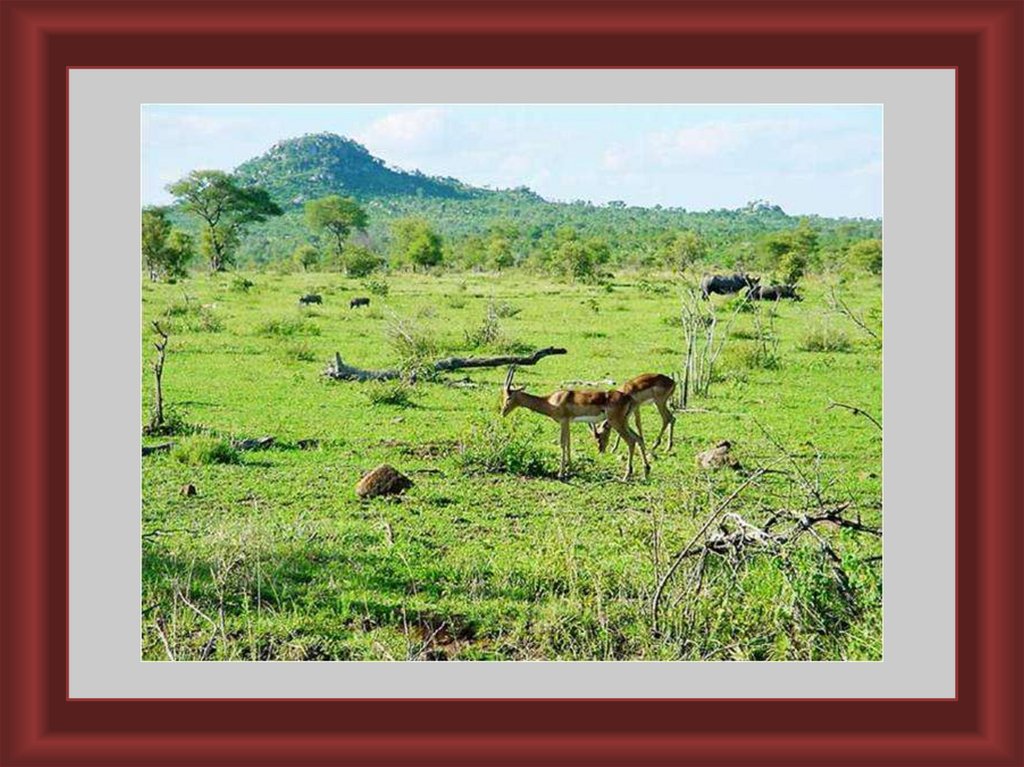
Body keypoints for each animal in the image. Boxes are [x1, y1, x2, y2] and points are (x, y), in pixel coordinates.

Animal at [495, 364, 647, 479]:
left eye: (509, 397)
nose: (503, 412)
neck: (552, 401)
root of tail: (628, 397)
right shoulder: (568, 422)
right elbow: (568, 443)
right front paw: (570, 469)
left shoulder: (563, 421)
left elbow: (562, 444)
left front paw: (561, 473)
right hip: (624, 422)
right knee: (638, 438)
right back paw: (646, 471)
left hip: (617, 423)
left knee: (631, 441)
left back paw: (627, 475)